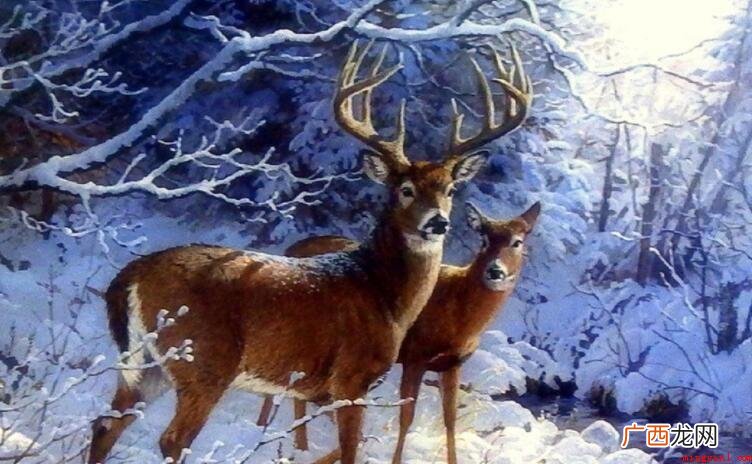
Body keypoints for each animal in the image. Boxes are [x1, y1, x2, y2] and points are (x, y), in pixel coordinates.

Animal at [257, 201, 540, 464]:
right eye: (484, 240)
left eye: (517, 242)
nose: (495, 271)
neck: (460, 316)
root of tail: (288, 250)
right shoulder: (415, 356)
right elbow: (406, 417)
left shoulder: (452, 363)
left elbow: (450, 420)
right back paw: (265, 431)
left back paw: (299, 447)